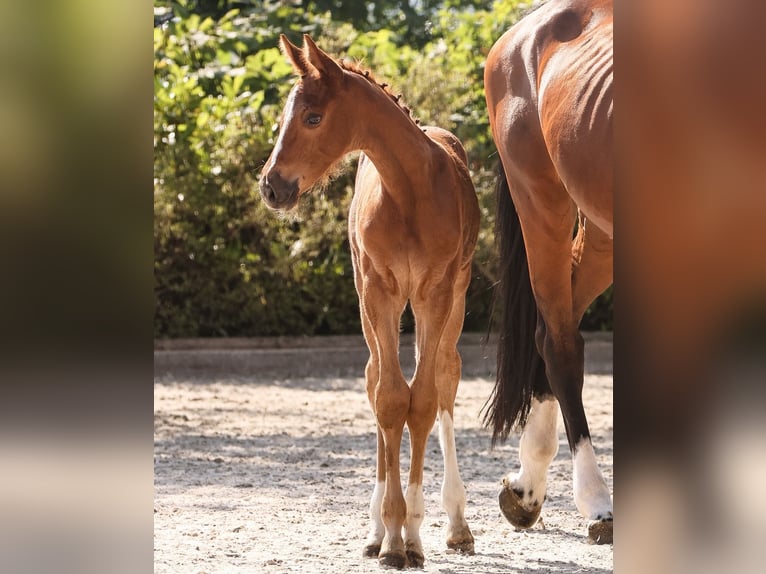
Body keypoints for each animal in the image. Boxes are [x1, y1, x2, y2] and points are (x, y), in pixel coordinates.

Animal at [262, 36, 480, 572]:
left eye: (313, 117)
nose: (271, 187)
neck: (409, 193)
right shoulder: (379, 291)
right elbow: (389, 398)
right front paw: (392, 536)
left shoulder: (434, 294)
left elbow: (422, 400)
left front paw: (415, 535)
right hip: (369, 303)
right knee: (374, 379)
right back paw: (378, 527)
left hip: (454, 298)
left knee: (445, 374)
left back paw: (456, 523)